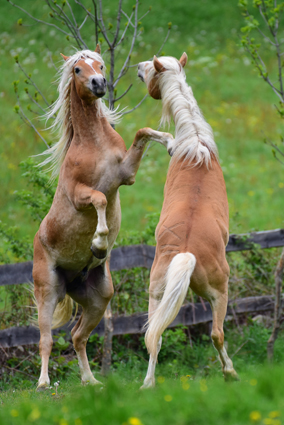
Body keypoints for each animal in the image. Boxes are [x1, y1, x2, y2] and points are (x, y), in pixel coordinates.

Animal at [34, 44, 174, 390]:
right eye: (77, 69)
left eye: (98, 64)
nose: (99, 83)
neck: (94, 144)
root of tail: (72, 279)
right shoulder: (78, 194)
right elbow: (98, 198)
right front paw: (98, 243)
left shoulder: (125, 174)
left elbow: (142, 133)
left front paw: (171, 142)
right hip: (47, 293)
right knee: (45, 339)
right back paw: (43, 383)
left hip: (99, 299)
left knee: (77, 336)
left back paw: (91, 381)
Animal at [138, 51, 240, 386]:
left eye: (151, 67)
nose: (139, 68)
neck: (195, 140)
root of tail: (186, 253)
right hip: (219, 293)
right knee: (217, 334)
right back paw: (230, 372)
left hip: (157, 294)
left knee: (153, 338)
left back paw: (148, 384)